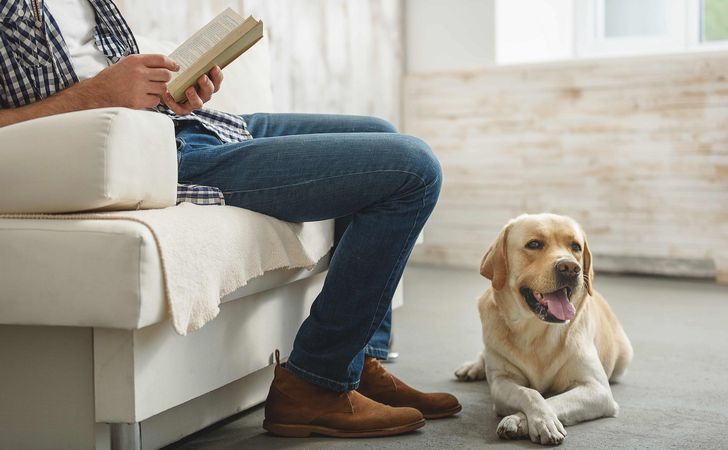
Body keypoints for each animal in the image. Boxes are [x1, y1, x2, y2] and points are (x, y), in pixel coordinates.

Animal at [456, 215, 632, 446]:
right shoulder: (501, 381)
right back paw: (472, 367)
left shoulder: (597, 389)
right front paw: (535, 419)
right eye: (534, 244)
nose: (570, 267)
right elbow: (529, 392)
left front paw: (525, 421)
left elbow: (554, 400)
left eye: (576, 246)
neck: (538, 333)